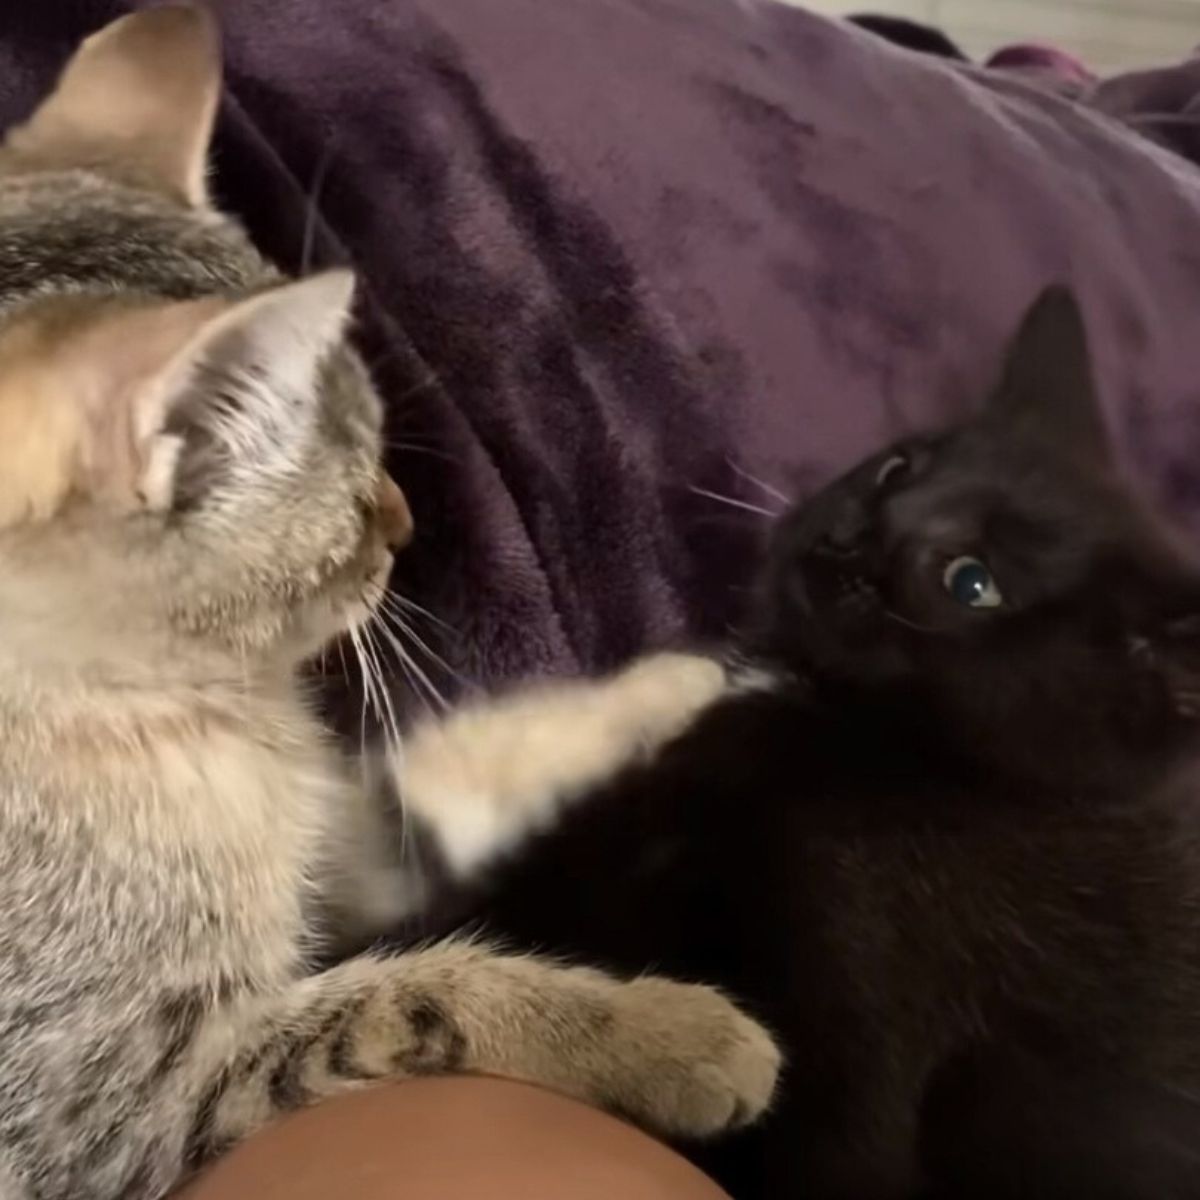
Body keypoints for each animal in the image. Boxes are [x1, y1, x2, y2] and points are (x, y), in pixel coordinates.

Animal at [0, 11, 777, 1200]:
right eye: (351, 494)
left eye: (377, 439)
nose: (407, 522)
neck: (222, 722)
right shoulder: (127, 1115)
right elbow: (424, 996)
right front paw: (673, 1036)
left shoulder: (363, 840)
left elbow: (481, 758)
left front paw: (672, 683)